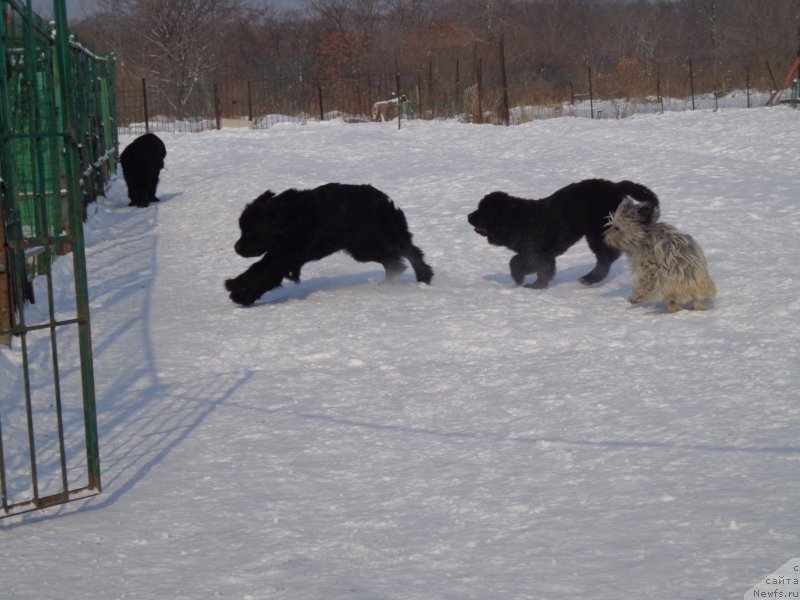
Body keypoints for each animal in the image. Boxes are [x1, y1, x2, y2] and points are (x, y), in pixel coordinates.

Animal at [225, 182, 434, 304]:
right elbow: (257, 268)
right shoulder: (281, 253)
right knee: (395, 259)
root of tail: (384, 199)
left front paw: (242, 297)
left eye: (251, 233)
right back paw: (391, 282)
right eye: (242, 231)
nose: (236, 248)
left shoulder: (288, 257)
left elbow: (267, 277)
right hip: (361, 247)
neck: (290, 221)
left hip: (373, 240)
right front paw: (234, 283)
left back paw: (423, 277)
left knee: (408, 252)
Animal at [466, 178, 660, 288]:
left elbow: (518, 262)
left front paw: (526, 282)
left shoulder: (538, 252)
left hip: (596, 231)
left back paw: (589, 278)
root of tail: (616, 185)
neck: (518, 219)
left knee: (606, 256)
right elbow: (537, 267)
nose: (468, 216)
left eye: (482, 211)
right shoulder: (538, 254)